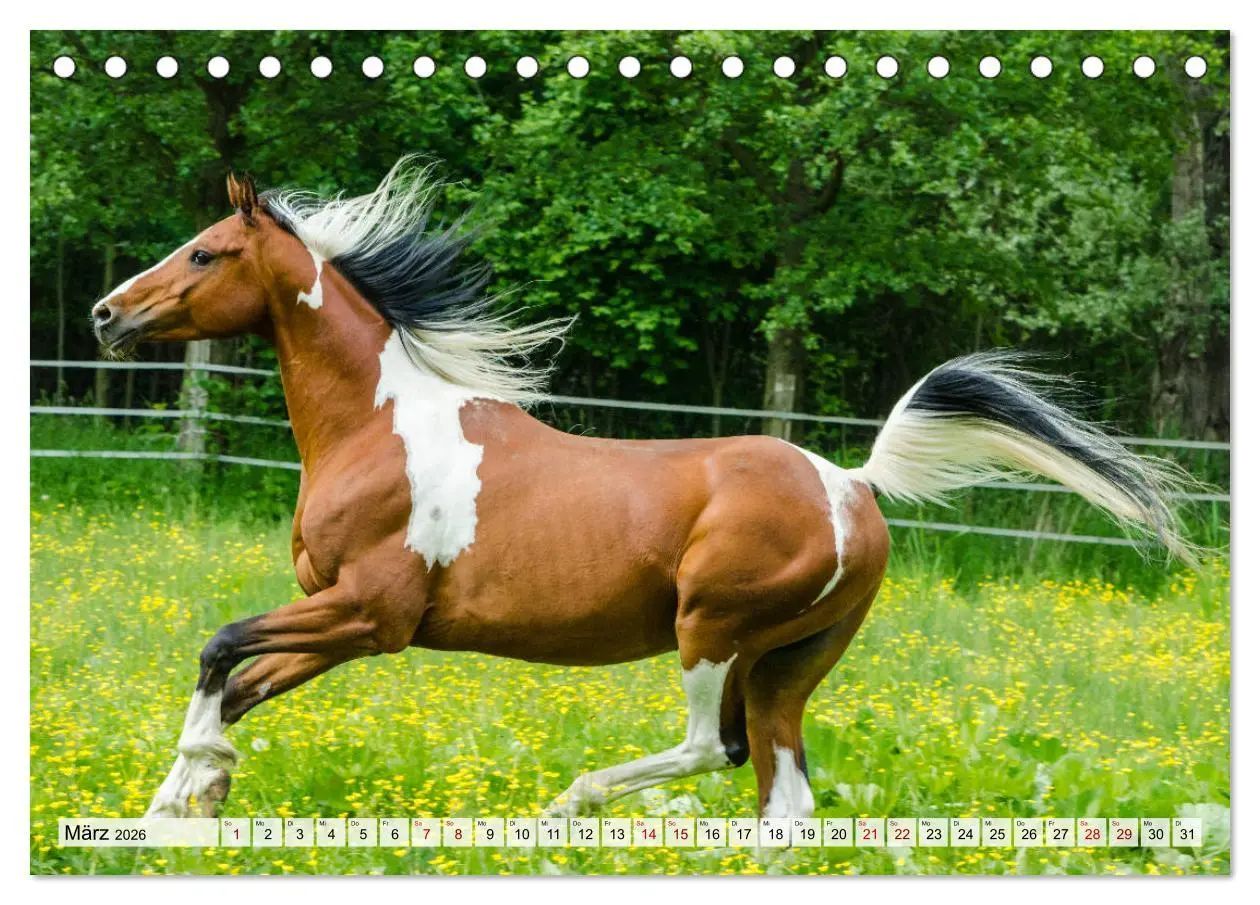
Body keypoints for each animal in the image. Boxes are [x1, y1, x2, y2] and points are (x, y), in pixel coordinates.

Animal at [90, 160, 1195, 820]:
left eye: (206, 251)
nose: (106, 313)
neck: (379, 428)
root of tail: (851, 482)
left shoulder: (371, 611)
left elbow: (217, 651)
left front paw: (184, 793)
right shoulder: (342, 620)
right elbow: (235, 683)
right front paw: (178, 807)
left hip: (713, 629)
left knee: (711, 747)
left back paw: (569, 803)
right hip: (791, 661)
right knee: (783, 798)